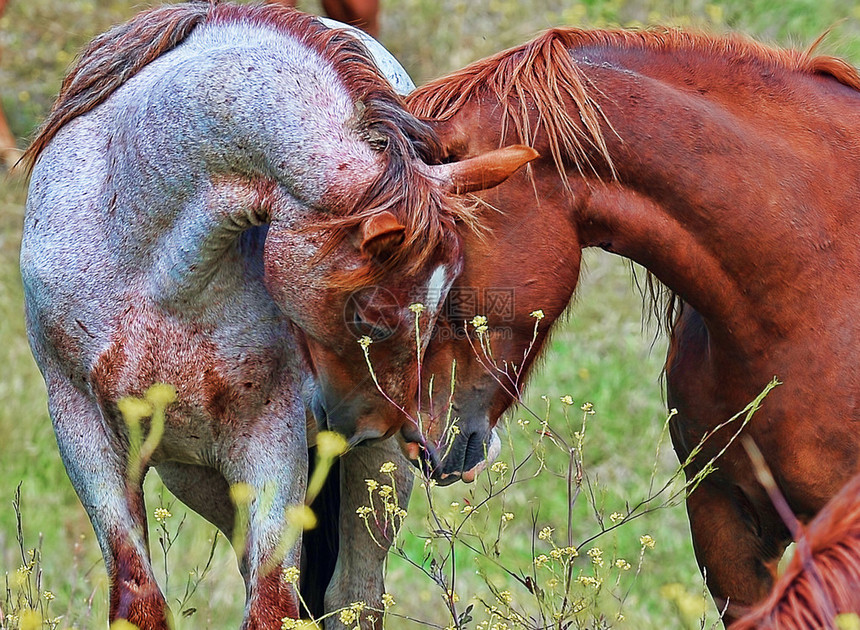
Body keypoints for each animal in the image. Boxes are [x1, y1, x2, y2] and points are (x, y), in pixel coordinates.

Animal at [18, 2, 532, 628]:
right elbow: (139, 598)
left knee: (353, 596)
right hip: (200, 475)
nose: (374, 429)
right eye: (371, 317)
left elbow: (272, 604)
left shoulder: (269, 440)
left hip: (376, 475)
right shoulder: (84, 430)